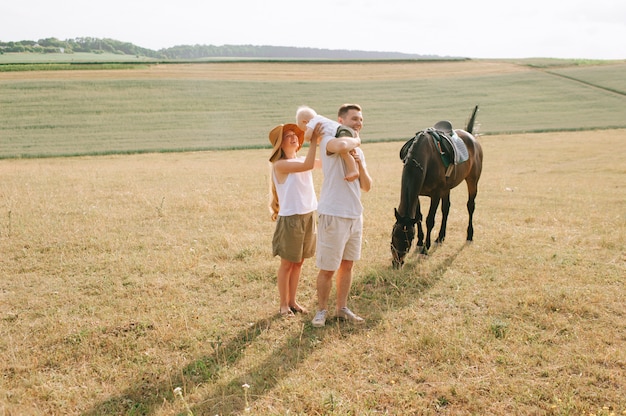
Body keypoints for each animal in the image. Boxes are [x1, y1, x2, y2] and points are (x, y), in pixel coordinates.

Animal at [390, 106, 482, 270]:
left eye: (408, 240)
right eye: (394, 235)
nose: (397, 263)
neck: (424, 158)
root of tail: (471, 135)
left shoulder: (436, 194)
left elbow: (429, 220)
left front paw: (425, 249)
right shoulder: (418, 194)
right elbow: (418, 217)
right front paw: (421, 243)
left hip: (472, 180)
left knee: (470, 206)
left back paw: (469, 236)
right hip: (447, 188)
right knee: (446, 209)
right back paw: (440, 237)